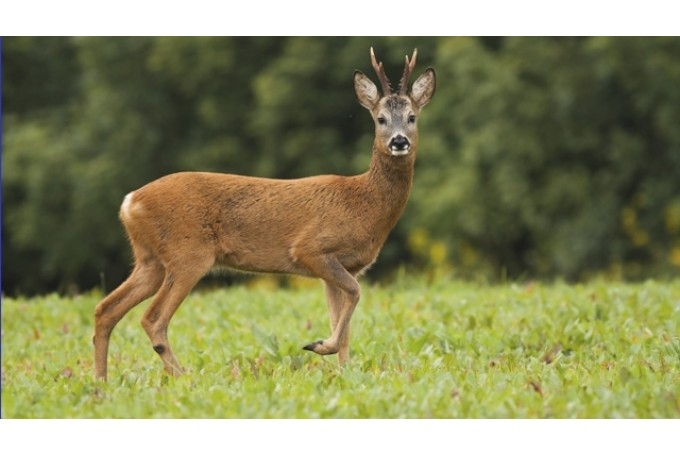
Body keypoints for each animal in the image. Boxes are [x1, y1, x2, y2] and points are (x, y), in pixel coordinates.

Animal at [91, 47, 436, 382]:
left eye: (412, 117)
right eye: (380, 119)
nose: (399, 141)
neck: (364, 203)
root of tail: (129, 202)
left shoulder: (344, 265)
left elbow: (344, 320)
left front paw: (343, 371)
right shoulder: (312, 249)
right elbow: (355, 293)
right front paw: (319, 346)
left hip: (151, 260)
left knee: (105, 309)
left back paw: (101, 383)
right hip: (187, 254)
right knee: (152, 318)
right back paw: (184, 378)